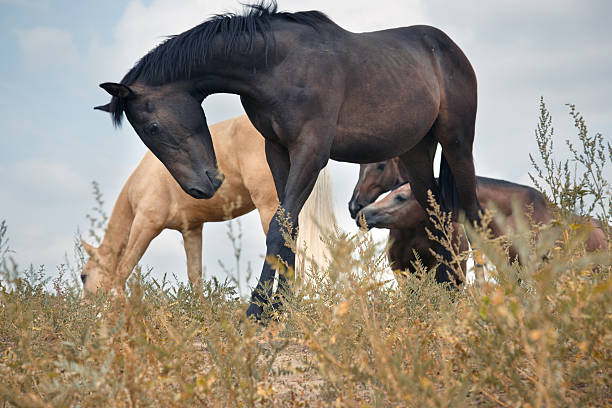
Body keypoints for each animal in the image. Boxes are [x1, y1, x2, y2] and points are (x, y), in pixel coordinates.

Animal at [81, 116, 334, 294]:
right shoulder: (191, 230)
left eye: (84, 276)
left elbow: (122, 270)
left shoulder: (146, 224)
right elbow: (195, 277)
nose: (87, 311)